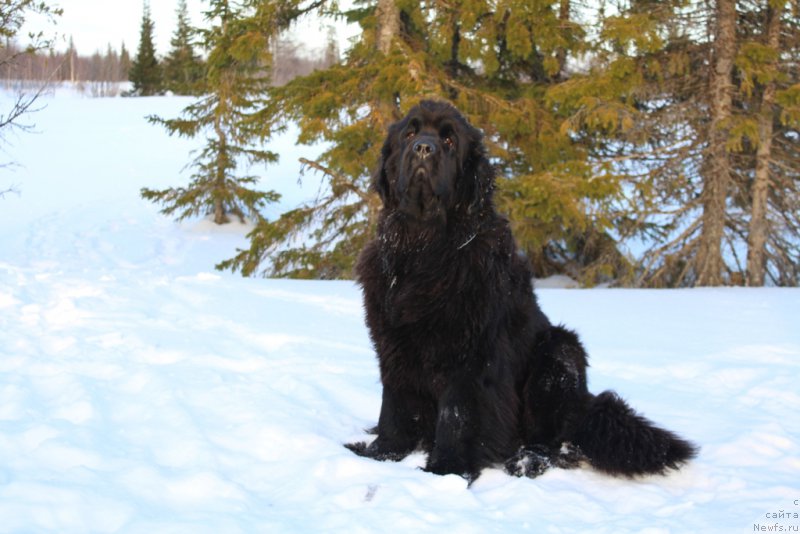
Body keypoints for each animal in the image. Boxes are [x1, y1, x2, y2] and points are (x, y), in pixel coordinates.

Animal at [346, 100, 696, 486]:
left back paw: (527, 461)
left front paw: (446, 471)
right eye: (410, 133)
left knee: (555, 441)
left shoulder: (470, 362)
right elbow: (395, 407)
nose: (424, 148)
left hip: (558, 355)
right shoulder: (394, 346)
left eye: (450, 141)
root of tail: (587, 404)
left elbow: (456, 417)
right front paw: (381, 454)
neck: (423, 247)